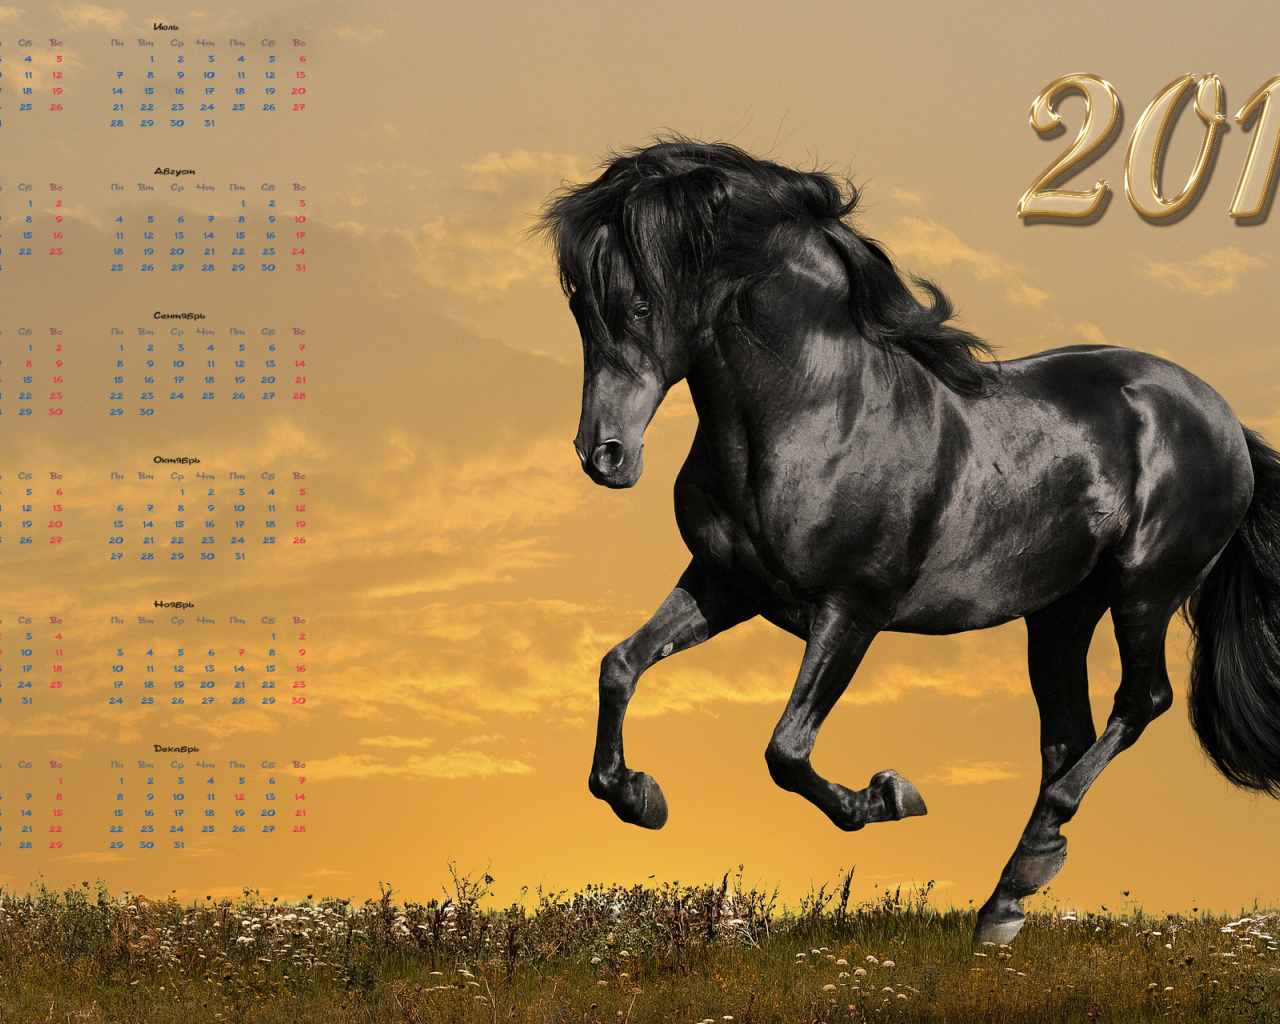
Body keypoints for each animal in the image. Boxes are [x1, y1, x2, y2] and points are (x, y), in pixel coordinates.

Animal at [539, 139, 1280, 944]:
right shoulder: (723, 584)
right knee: (1066, 735)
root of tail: (1221, 417)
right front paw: (639, 796)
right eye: (578, 303)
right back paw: (1006, 901)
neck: (818, 415)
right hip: (1059, 612)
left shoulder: (851, 611)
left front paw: (891, 795)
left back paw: (1027, 866)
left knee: (1140, 702)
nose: (604, 455)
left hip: (1144, 590)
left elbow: (786, 751)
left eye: (642, 302)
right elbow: (619, 666)